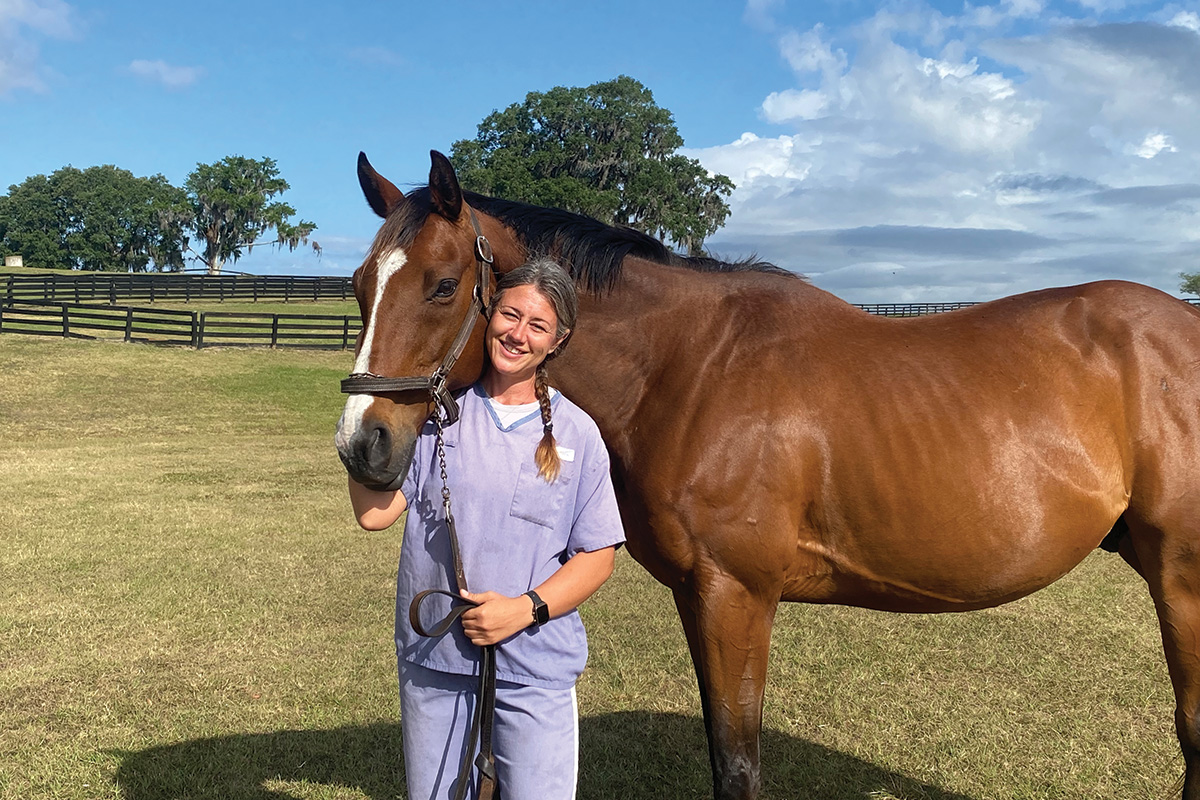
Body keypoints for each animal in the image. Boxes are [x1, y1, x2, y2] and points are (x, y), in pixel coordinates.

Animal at [333, 151, 1200, 800]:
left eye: (444, 285)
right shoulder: (700, 596)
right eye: (361, 285)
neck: (689, 365)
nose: (362, 446)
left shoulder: (738, 594)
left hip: (1182, 578)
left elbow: (740, 764)